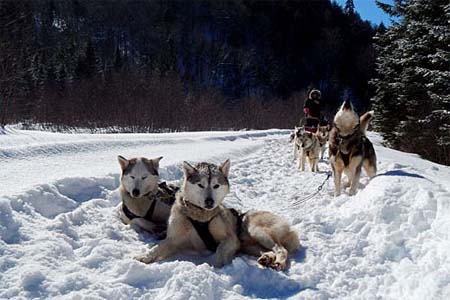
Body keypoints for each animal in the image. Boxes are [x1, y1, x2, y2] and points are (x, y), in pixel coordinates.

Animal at [135, 161, 300, 270]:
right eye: (200, 185)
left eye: (216, 185)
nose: (209, 201)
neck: (200, 216)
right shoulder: (174, 239)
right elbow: (158, 247)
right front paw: (144, 257)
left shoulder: (231, 239)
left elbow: (220, 249)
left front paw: (215, 266)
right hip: (248, 245)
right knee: (268, 250)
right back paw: (267, 258)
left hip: (256, 230)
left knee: (281, 249)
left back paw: (279, 262)